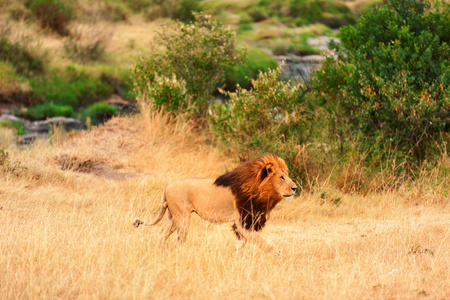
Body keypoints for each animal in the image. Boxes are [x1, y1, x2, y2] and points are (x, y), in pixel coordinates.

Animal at [134, 154, 296, 254]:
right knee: (180, 239)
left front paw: (237, 258)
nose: (295, 188)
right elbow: (259, 240)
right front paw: (277, 253)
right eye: (282, 177)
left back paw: (159, 252)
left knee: (162, 234)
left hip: (172, 217)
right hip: (182, 218)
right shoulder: (243, 221)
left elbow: (241, 243)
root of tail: (167, 187)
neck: (258, 190)